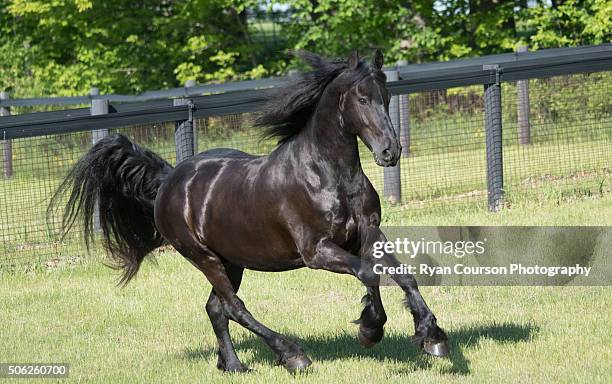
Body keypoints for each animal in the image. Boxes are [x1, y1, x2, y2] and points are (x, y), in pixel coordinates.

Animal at [50, 50, 448, 372]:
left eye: (387, 96)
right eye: (363, 98)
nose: (390, 152)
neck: (326, 175)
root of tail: (168, 181)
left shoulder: (369, 234)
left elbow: (404, 276)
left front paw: (432, 336)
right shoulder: (317, 251)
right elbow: (368, 273)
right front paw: (370, 328)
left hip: (232, 260)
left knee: (216, 308)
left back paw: (232, 365)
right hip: (204, 257)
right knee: (234, 306)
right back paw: (292, 355)